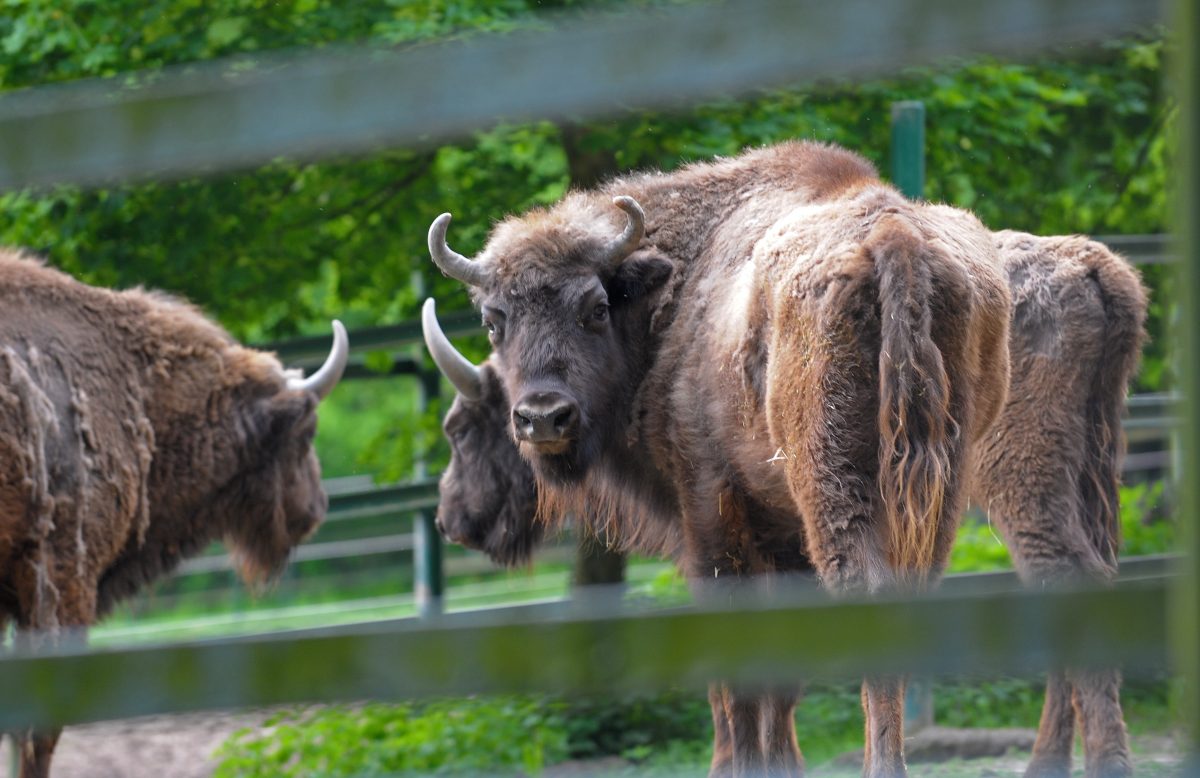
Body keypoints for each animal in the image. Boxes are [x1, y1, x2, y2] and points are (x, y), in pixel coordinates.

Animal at [420, 141, 1142, 778]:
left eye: (594, 307)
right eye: (495, 318)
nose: (542, 416)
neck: (671, 302)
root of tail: (895, 239)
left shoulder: (710, 524)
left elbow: (733, 679)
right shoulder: (780, 538)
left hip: (970, 487)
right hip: (987, 488)